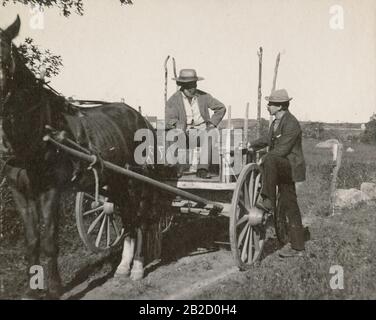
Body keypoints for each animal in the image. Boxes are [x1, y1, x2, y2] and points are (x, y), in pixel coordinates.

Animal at [0, 15, 162, 300]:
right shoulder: (20, 191)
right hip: (116, 181)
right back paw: (123, 267)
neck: (38, 132)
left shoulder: (51, 190)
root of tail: (141, 118)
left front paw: (55, 289)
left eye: (4, 54)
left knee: (141, 219)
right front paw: (31, 290)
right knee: (128, 218)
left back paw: (138, 268)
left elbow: (49, 240)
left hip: (138, 180)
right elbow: (31, 242)